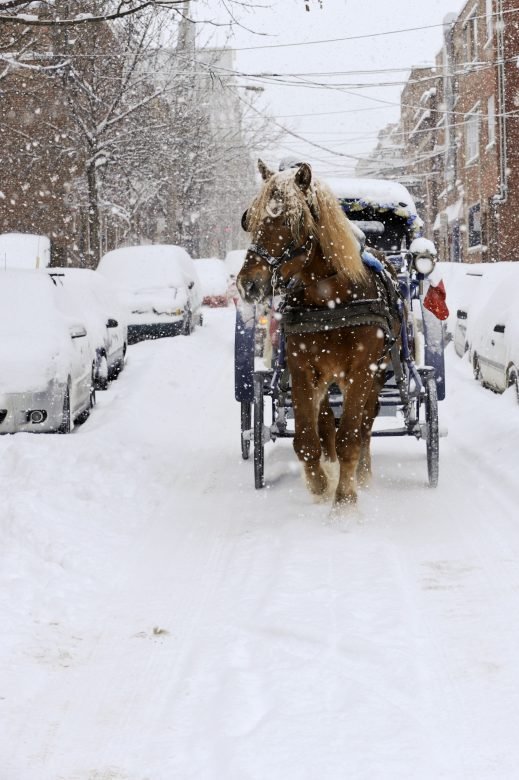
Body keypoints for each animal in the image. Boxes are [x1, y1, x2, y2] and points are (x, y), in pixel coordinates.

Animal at [237, 159, 401, 509]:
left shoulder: (363, 368)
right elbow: (307, 439)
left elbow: (351, 436)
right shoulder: (301, 367)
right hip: (327, 376)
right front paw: (319, 484)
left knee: (366, 421)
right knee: (326, 422)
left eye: (289, 220)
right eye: (249, 220)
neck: (330, 298)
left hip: (377, 372)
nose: (248, 284)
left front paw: (345, 499)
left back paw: (362, 473)